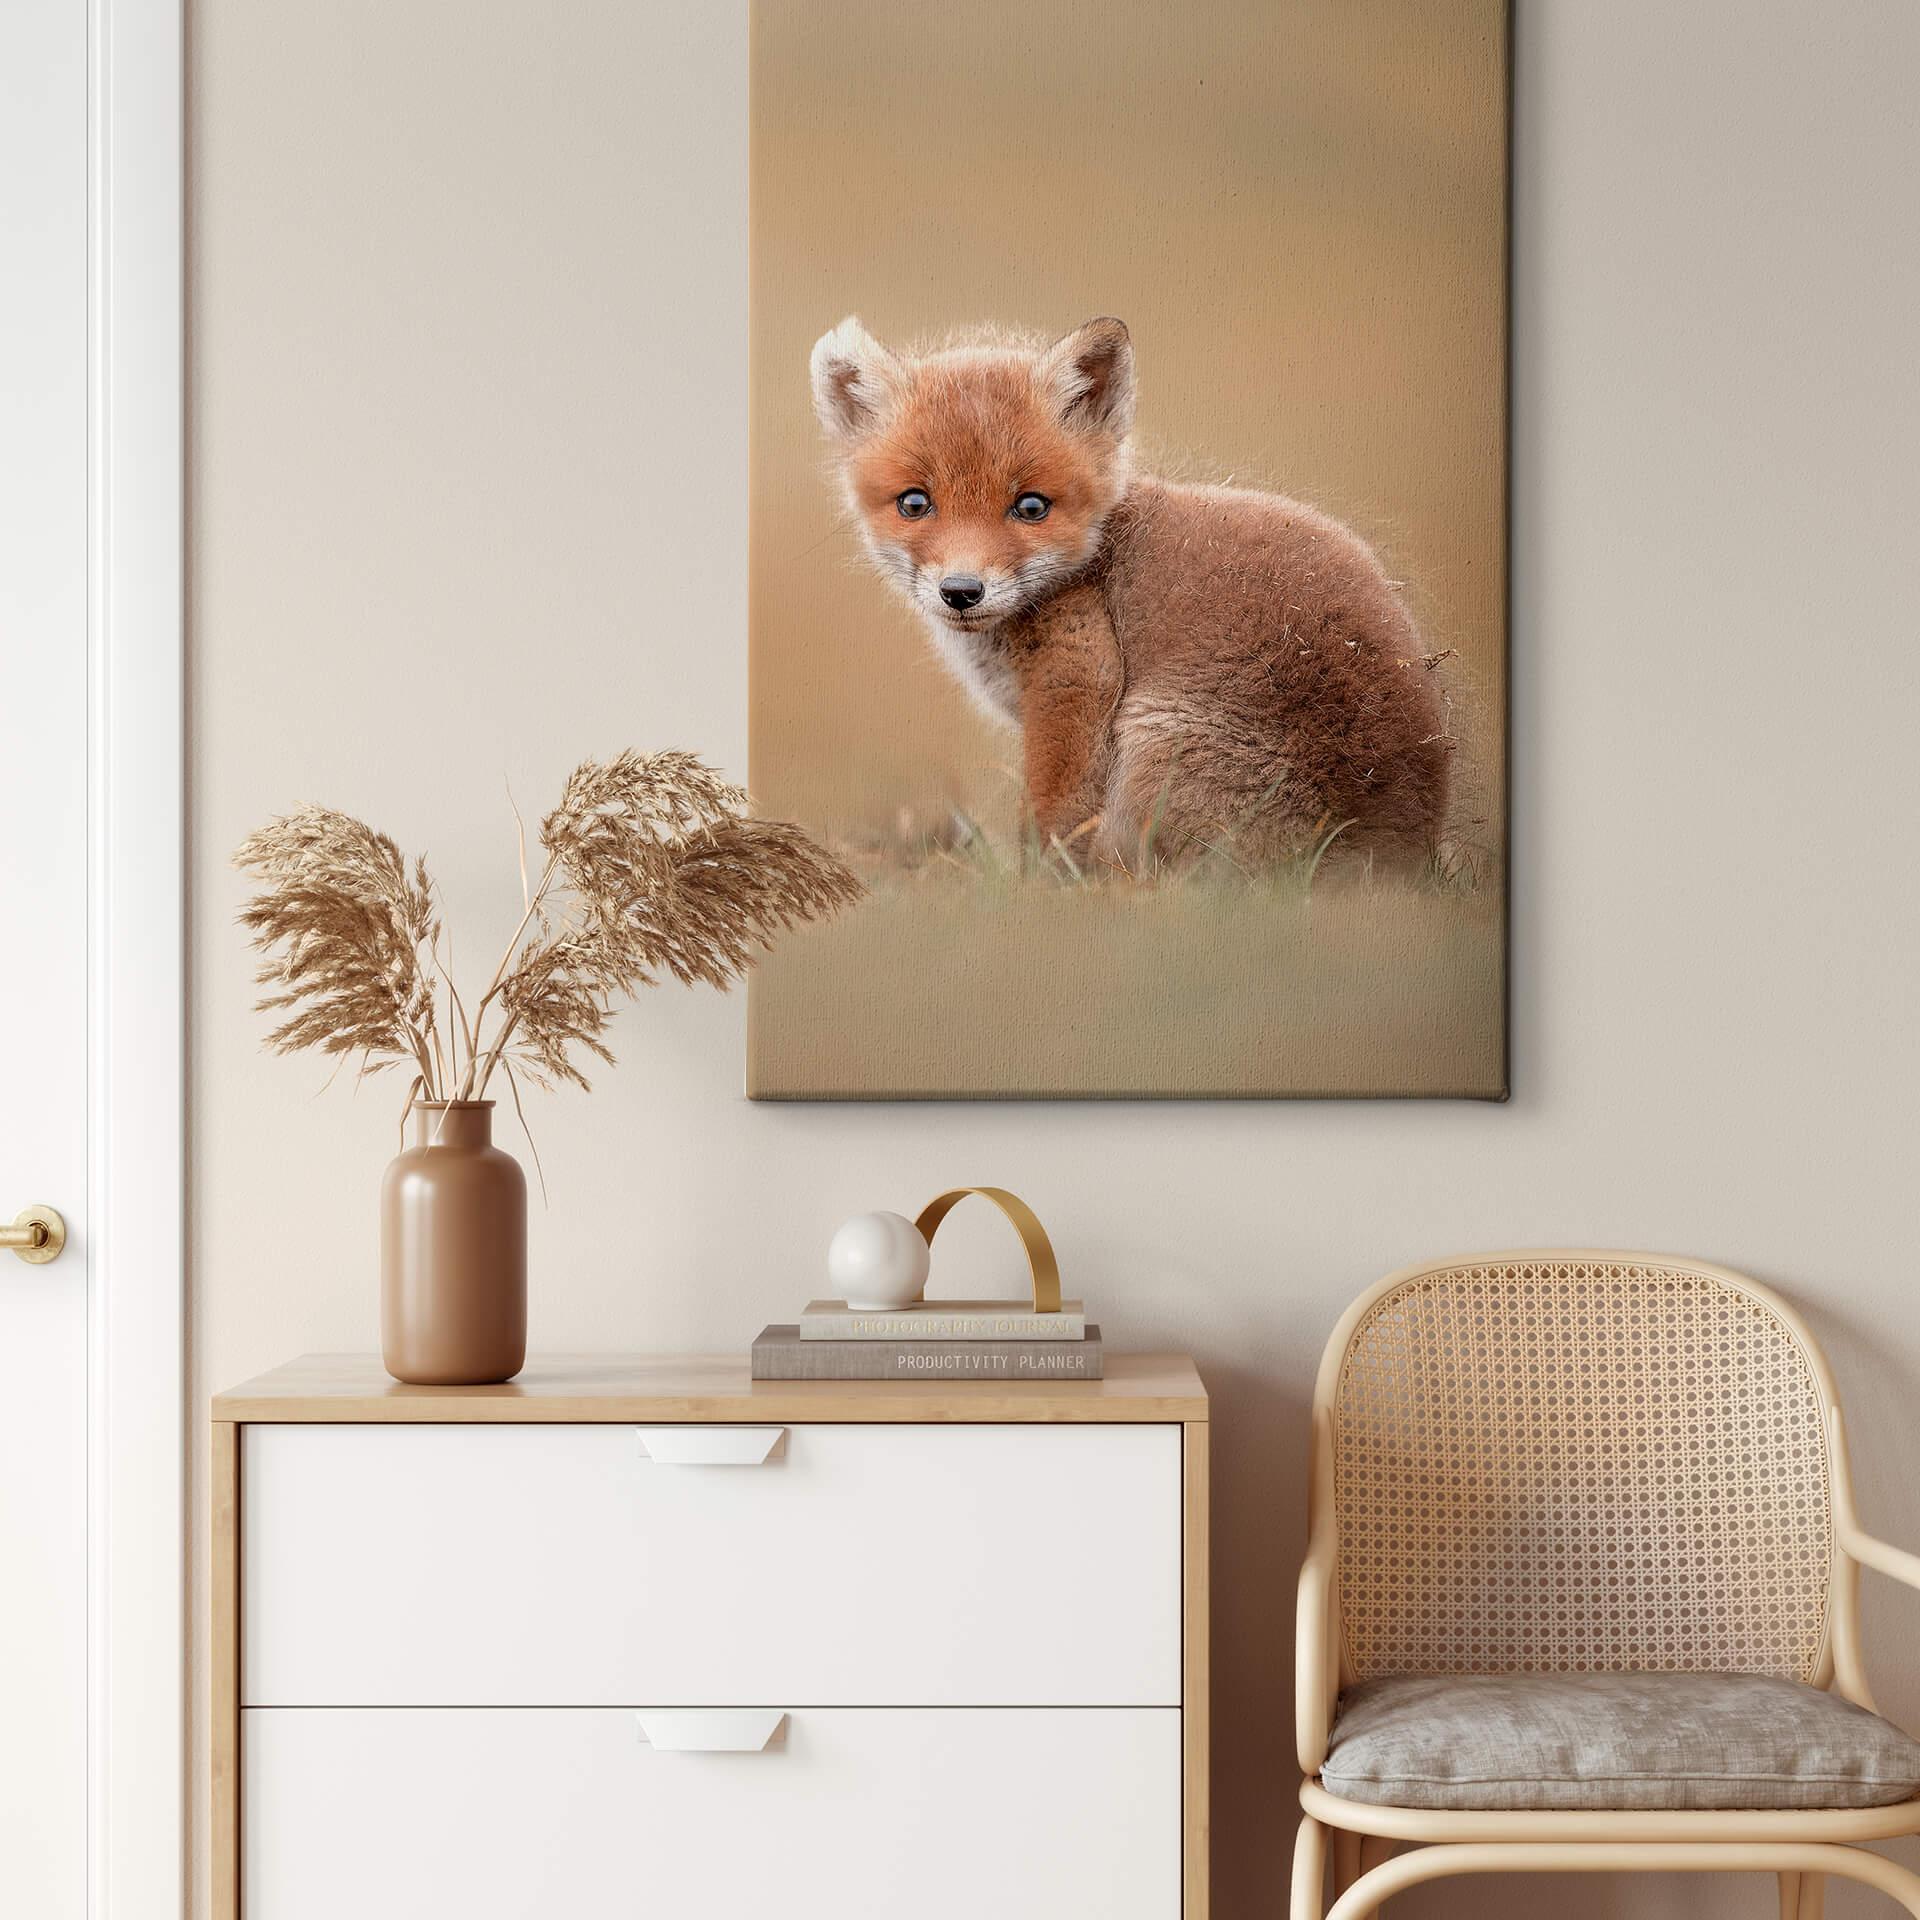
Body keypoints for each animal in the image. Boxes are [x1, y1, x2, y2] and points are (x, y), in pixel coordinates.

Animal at [810, 314, 1453, 869]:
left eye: (1031, 507)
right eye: (915, 503)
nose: (962, 591)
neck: (1092, 561)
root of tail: (1399, 858)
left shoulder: (1077, 679)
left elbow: (1053, 824)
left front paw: (1039, 897)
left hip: (1152, 744)